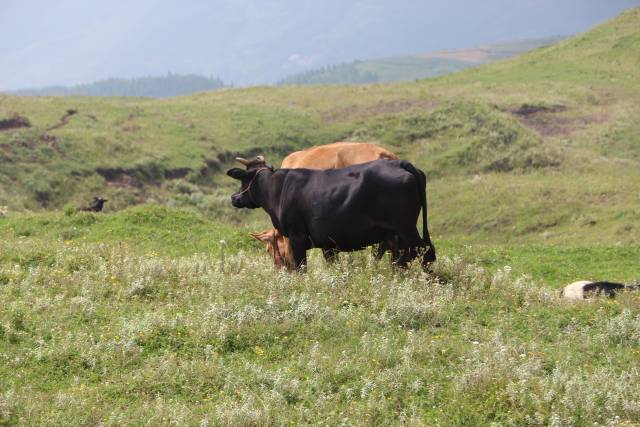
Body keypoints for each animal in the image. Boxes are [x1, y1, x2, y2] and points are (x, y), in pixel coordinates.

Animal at [226, 157, 436, 270]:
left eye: (243, 180)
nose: (234, 197)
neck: (277, 190)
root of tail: (400, 163)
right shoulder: (327, 243)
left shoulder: (297, 236)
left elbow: (301, 267)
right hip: (396, 233)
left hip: (406, 227)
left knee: (422, 253)